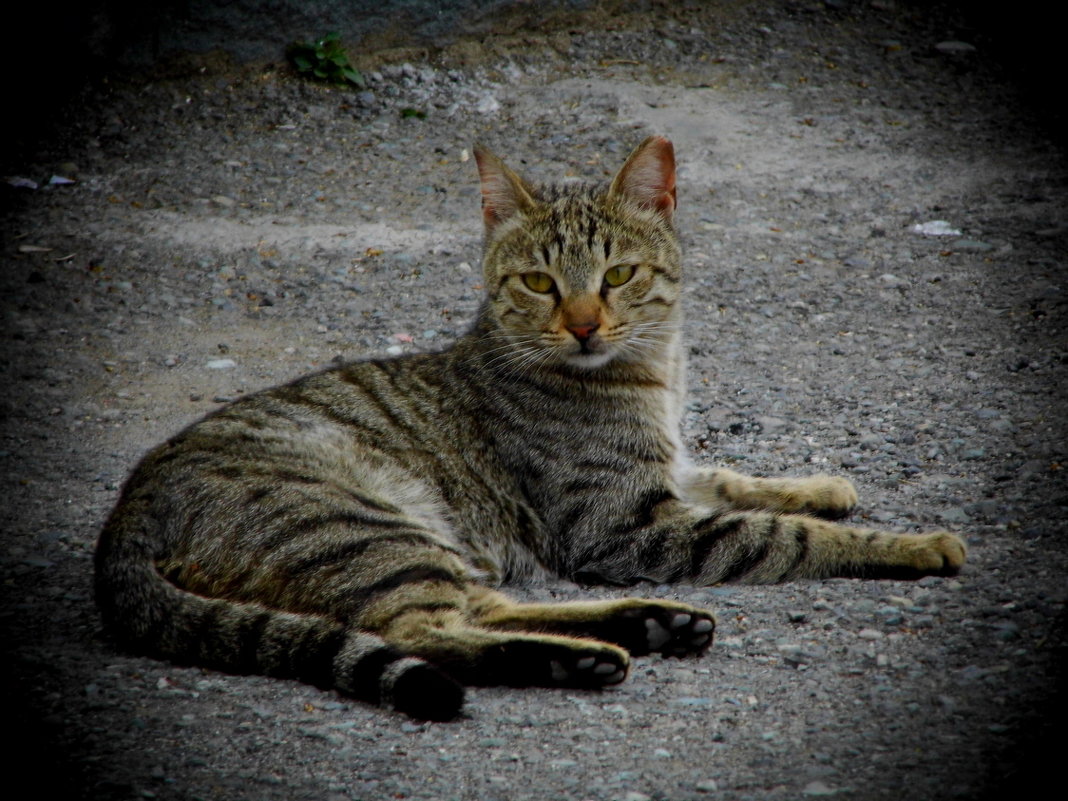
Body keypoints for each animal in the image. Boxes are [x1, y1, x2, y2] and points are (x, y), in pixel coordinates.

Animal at [98, 136, 969, 721]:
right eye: (540, 283)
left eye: (619, 274)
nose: (584, 325)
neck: (653, 375)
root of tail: (121, 523)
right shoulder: (623, 524)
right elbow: (782, 534)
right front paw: (910, 543)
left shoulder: (668, 473)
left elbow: (734, 476)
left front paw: (823, 483)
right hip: (367, 525)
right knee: (428, 629)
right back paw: (585, 654)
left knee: (480, 606)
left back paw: (648, 623)